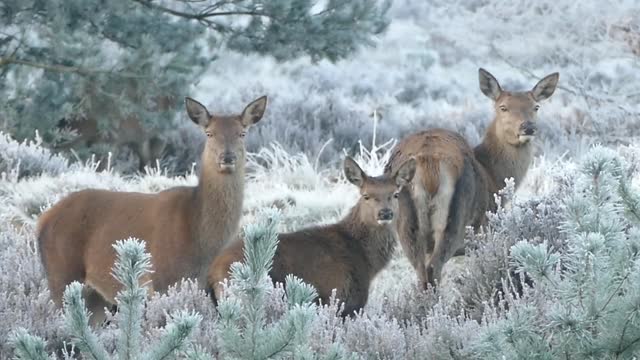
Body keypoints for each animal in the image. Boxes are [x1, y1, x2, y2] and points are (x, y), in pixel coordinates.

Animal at [37, 94, 268, 324]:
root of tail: (42, 220)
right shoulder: (160, 280)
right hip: (61, 274)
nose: (227, 157)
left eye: (242, 133)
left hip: (95, 296)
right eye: (209, 133)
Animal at [208, 156, 418, 316]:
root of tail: (213, 270)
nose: (385, 213)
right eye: (366, 195)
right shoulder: (344, 300)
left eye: (395, 194)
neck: (367, 261)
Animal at [384, 68, 560, 290]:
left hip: (406, 223)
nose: (527, 127)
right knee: (433, 268)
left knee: (421, 273)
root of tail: (429, 162)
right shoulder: (485, 231)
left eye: (535, 106)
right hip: (457, 216)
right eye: (503, 107)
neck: (493, 175)